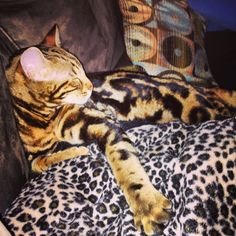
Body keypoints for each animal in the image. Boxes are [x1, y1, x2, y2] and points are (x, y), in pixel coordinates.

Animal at [5, 24, 236, 235]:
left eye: (84, 72)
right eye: (74, 81)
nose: (91, 86)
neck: (44, 120)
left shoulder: (106, 125)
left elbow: (125, 166)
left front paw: (146, 206)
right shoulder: (34, 155)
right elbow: (39, 162)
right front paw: (75, 150)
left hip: (197, 108)